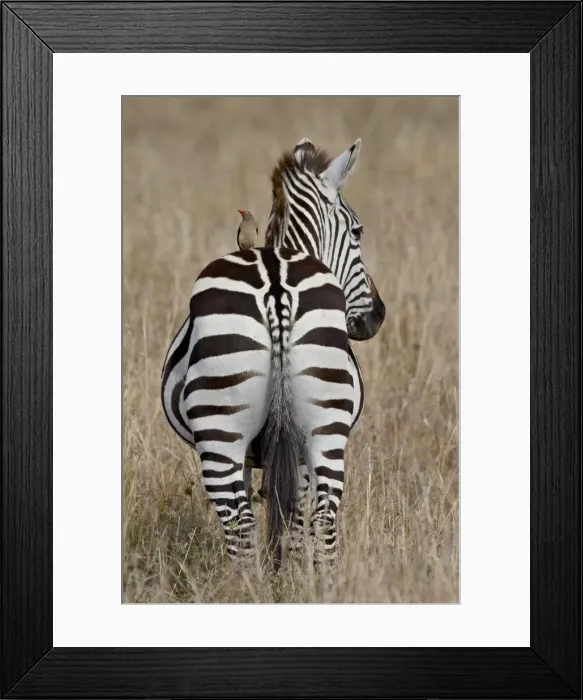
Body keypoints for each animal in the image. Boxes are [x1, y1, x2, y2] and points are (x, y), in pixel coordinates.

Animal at [161, 138, 385, 567]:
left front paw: (282, 571)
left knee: (242, 524)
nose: (377, 316)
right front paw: (288, 571)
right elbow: (291, 516)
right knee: (321, 518)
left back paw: (244, 581)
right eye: (358, 230)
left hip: (222, 430)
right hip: (323, 425)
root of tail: (276, 288)